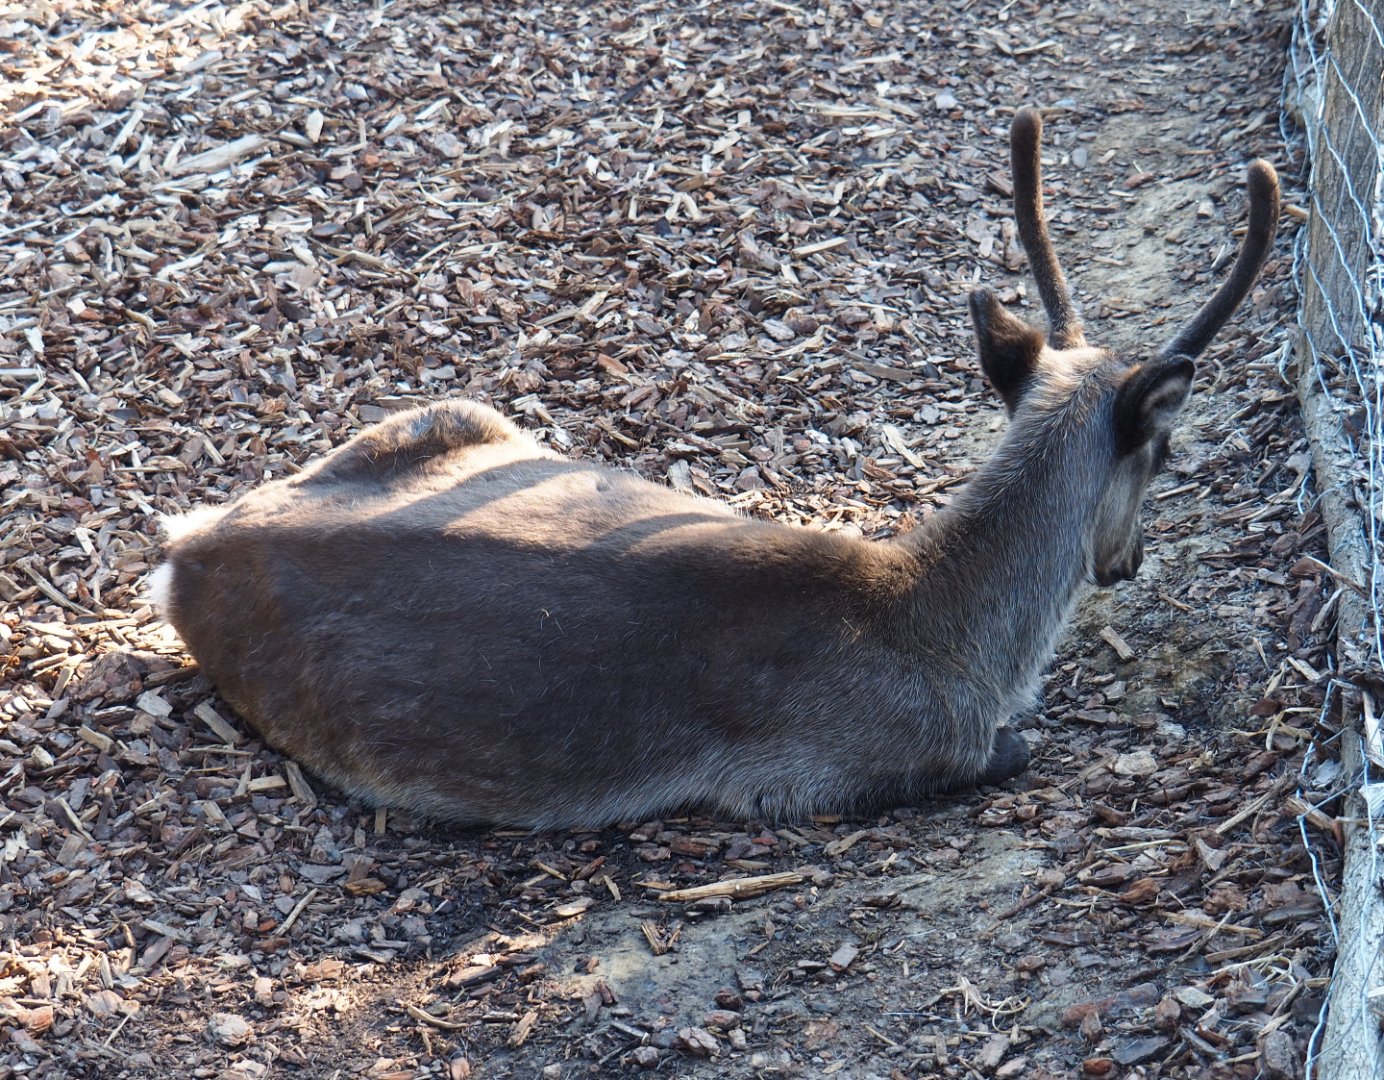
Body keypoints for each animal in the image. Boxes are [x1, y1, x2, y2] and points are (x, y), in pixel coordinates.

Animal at [150, 109, 1280, 830]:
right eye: (1166, 450)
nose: (1127, 561)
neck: (951, 638)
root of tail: (182, 550)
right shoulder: (839, 770)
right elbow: (1017, 746)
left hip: (451, 412)